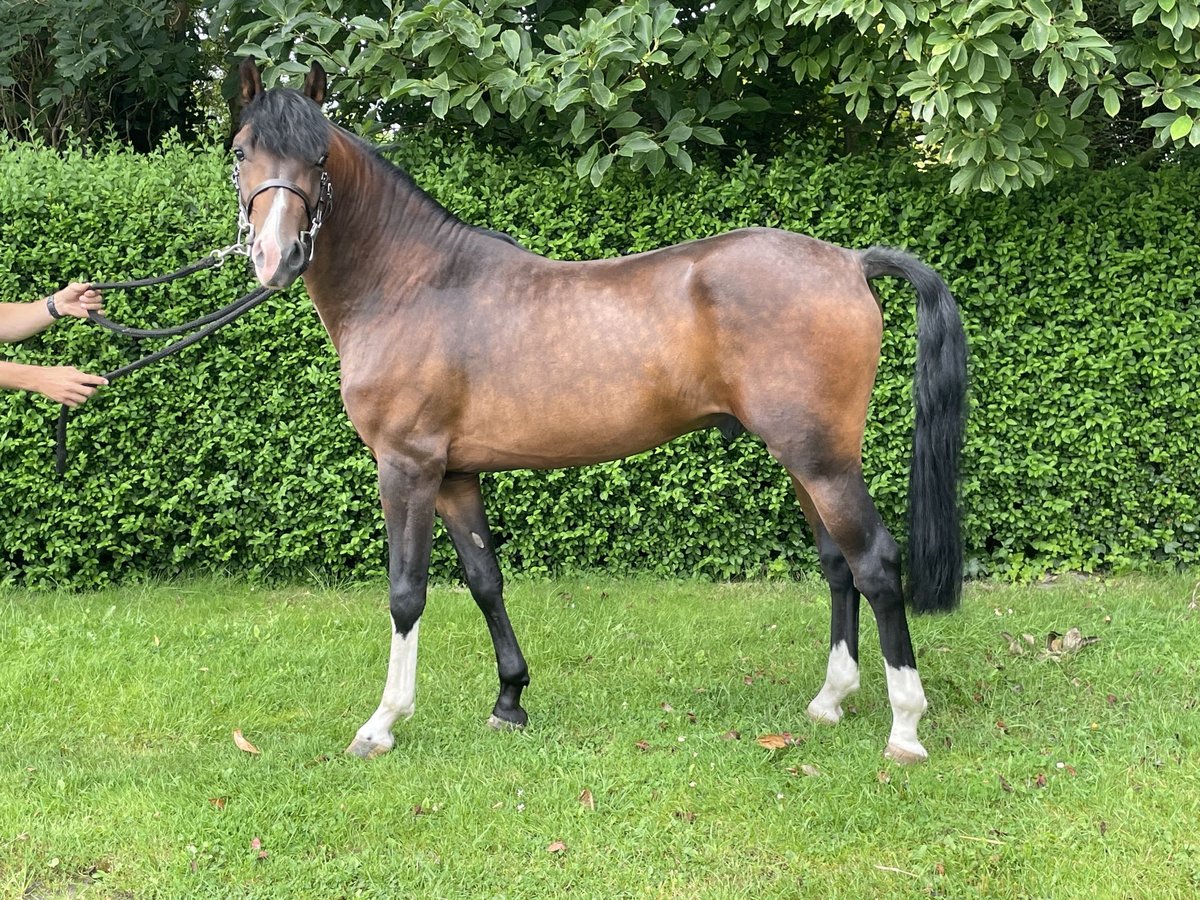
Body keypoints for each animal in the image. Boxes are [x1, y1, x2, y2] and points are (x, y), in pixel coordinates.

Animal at [231, 60, 964, 763]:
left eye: (319, 156)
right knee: (838, 565)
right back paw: (830, 700)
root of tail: (849, 261)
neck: (411, 283)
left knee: (875, 564)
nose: (276, 257)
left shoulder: (406, 467)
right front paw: (510, 700)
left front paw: (382, 723)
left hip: (823, 462)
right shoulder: (455, 475)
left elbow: (406, 592)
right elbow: (485, 580)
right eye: (241, 151)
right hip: (805, 460)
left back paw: (905, 727)